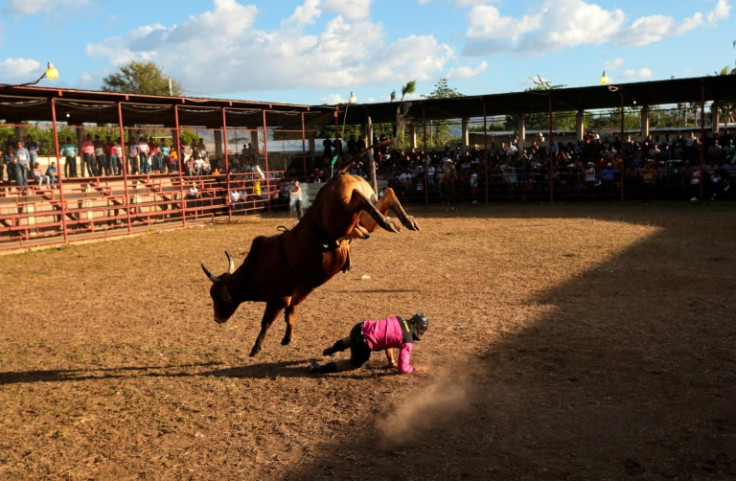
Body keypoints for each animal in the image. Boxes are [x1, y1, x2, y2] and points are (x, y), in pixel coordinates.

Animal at [201, 148, 420, 354]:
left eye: (216, 295)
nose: (217, 319)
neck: (255, 267)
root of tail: (336, 176)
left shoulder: (278, 298)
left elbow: (266, 321)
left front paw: (256, 347)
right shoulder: (298, 294)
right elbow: (291, 315)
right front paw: (287, 338)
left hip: (342, 219)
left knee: (360, 199)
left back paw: (390, 221)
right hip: (361, 222)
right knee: (387, 193)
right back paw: (404, 220)